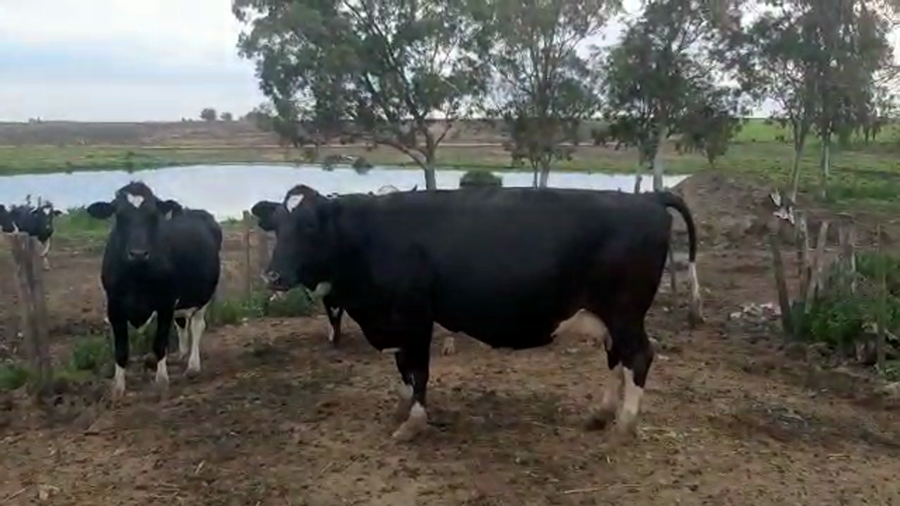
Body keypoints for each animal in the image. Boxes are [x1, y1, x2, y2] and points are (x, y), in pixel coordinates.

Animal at [86, 182, 222, 400]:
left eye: (152, 216)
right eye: (119, 215)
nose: (138, 253)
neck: (137, 277)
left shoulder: (165, 303)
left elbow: (160, 343)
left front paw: (161, 381)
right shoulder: (114, 306)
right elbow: (121, 350)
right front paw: (118, 388)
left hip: (204, 294)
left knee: (197, 325)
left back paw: (192, 365)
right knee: (182, 322)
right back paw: (181, 354)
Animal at [251, 184, 703, 442]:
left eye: (309, 227)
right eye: (277, 227)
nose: (272, 274)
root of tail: (646, 198)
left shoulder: (415, 316)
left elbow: (417, 371)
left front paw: (413, 423)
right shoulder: (395, 322)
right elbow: (402, 370)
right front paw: (402, 408)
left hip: (625, 311)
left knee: (639, 356)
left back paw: (625, 425)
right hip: (608, 314)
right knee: (617, 358)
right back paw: (601, 414)